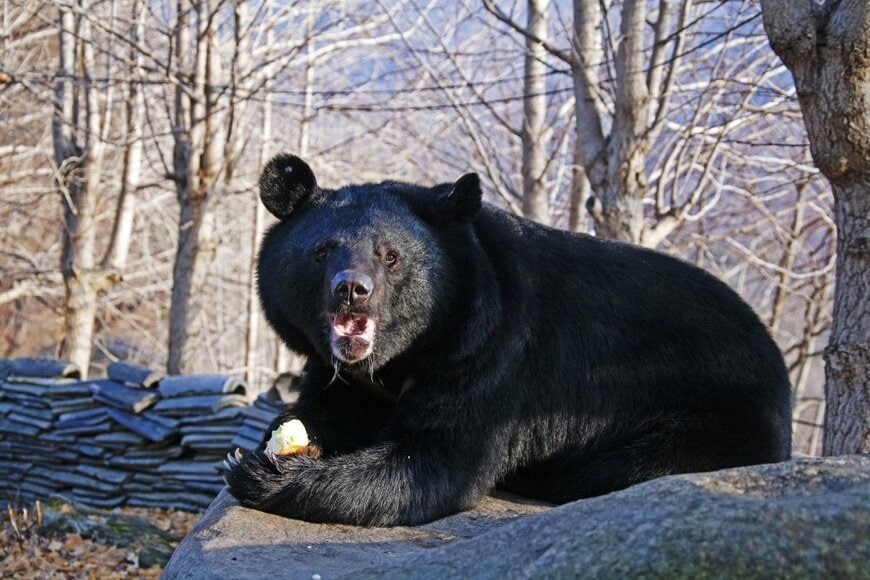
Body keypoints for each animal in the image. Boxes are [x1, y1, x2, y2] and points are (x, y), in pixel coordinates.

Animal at [225, 154, 792, 527]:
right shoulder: (340, 369)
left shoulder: (493, 351)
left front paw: (262, 473)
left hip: (713, 412)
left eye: (390, 256)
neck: (398, 358)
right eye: (322, 250)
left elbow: (438, 459)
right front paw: (285, 442)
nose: (352, 290)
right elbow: (331, 407)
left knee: (640, 462)